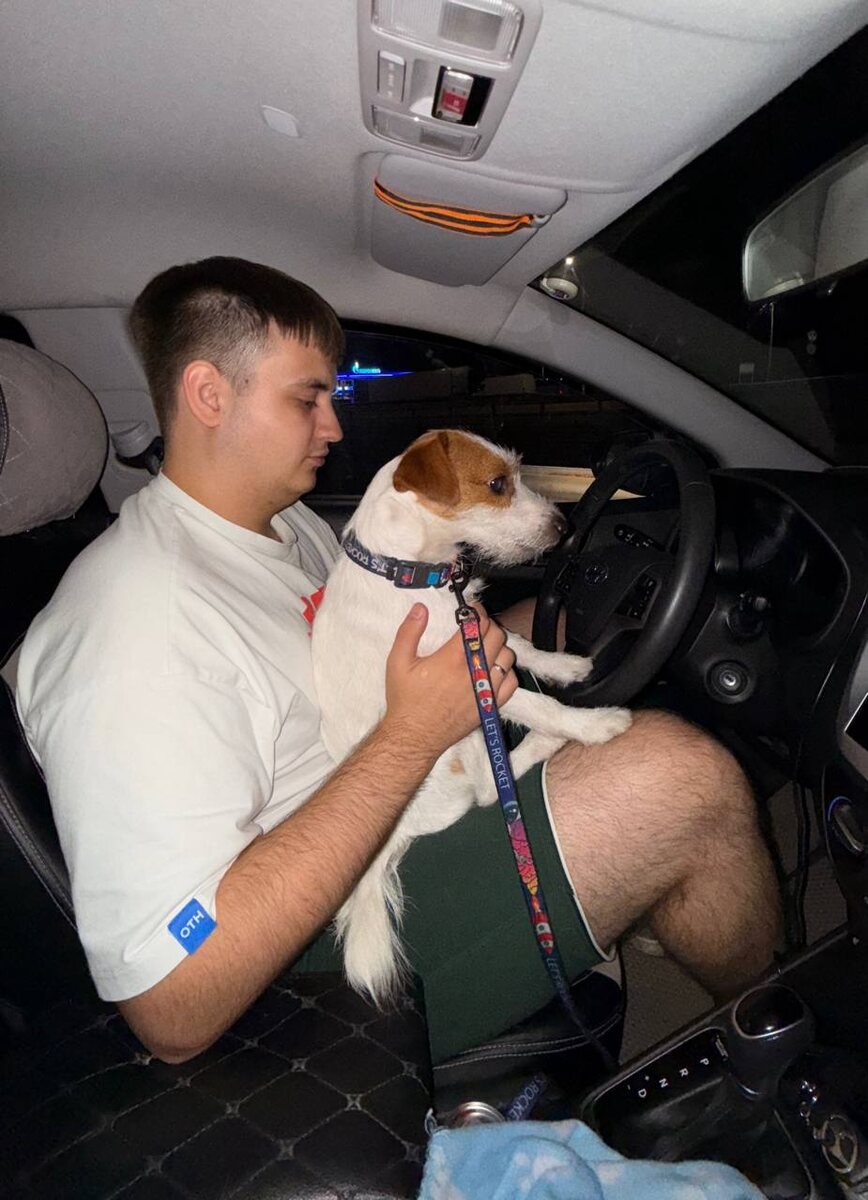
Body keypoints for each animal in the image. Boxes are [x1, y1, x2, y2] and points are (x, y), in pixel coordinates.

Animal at [311, 429, 631, 1004]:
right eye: (497, 484)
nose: (563, 528)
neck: (409, 573)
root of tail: (395, 836)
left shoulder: (478, 631)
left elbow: (523, 647)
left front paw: (566, 665)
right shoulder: (472, 682)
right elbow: (539, 704)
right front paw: (596, 725)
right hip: (460, 748)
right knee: (487, 789)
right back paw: (544, 744)